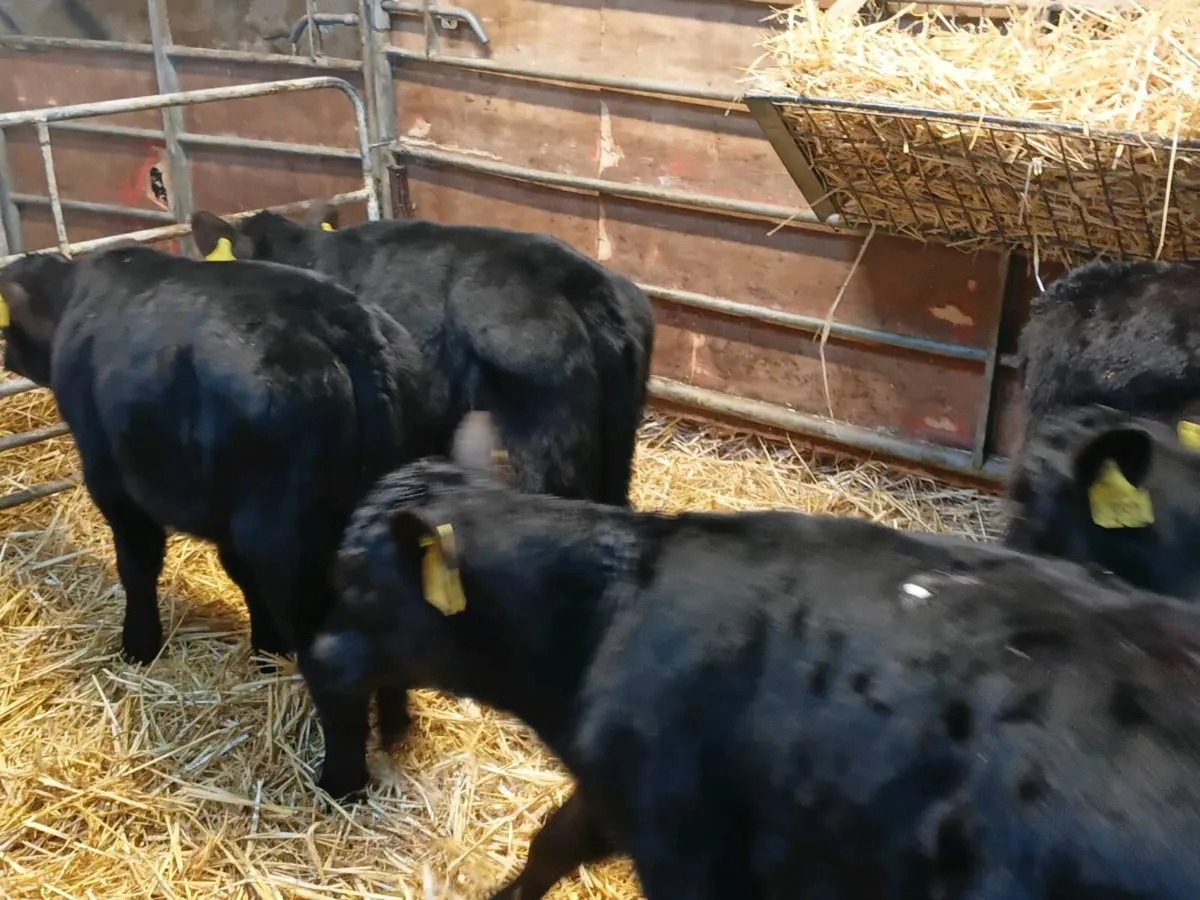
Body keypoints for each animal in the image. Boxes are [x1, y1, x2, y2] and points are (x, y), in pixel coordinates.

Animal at [0, 243, 428, 799]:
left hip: (292, 552)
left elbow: (137, 567)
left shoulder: (111, 479)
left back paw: (338, 783)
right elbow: (238, 575)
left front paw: (139, 645)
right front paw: (266, 647)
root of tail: (352, 333)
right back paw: (396, 727)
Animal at [309, 411, 1200, 899]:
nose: (314, 654)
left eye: (359, 586)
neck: (608, 608)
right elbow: (550, 844)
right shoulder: (614, 792)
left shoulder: (686, 840)